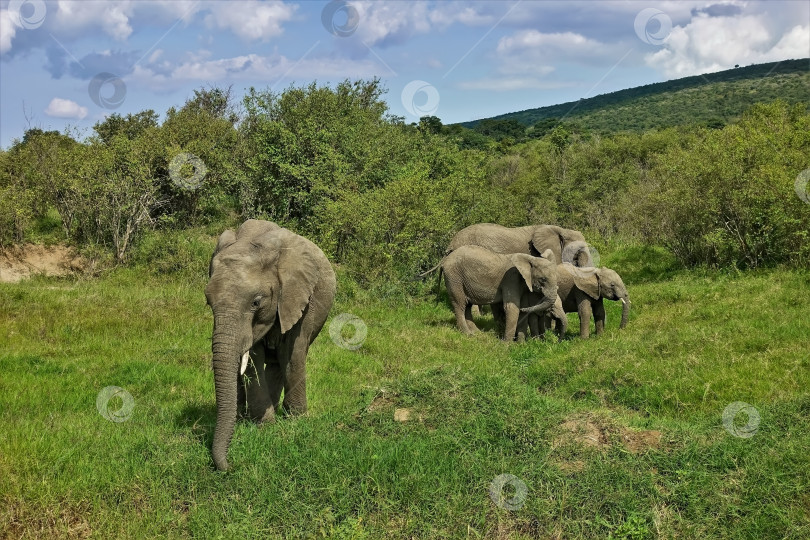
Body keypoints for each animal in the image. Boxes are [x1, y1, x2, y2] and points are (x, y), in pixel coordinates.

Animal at [208, 218, 338, 468]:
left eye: (256, 302)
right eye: (208, 301)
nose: (229, 466)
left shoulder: (300, 297)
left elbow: (292, 355)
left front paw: (297, 421)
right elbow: (252, 359)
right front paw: (265, 424)